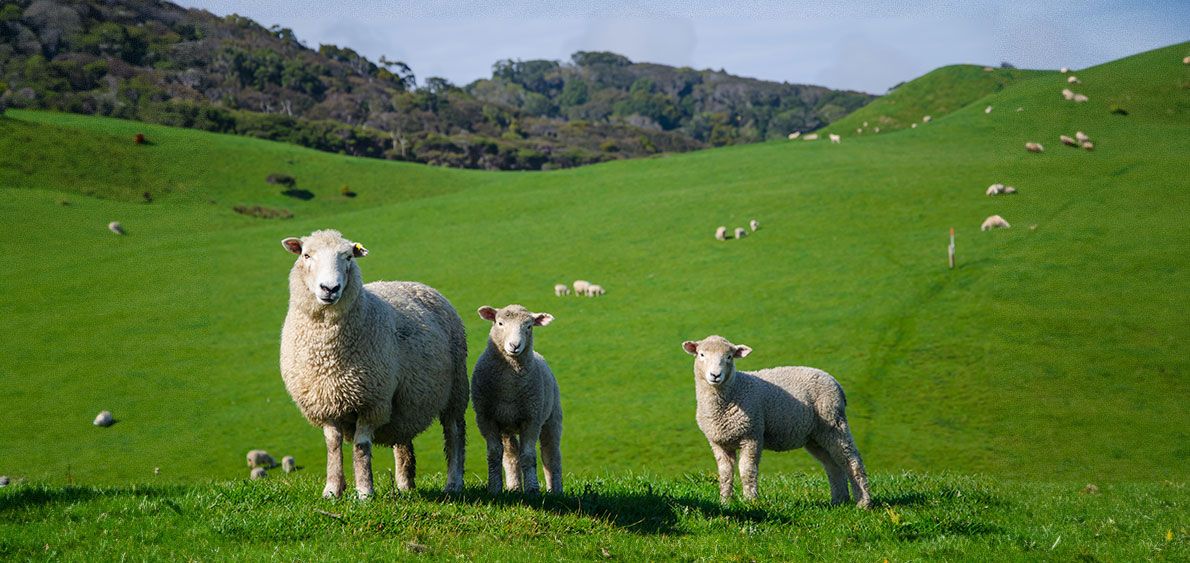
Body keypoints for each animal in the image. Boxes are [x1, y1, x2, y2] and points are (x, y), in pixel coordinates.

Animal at [279, 229, 469, 499]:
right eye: (306, 255)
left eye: (348, 257)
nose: (330, 288)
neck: (327, 354)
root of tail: (416, 284)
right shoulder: (324, 402)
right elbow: (333, 445)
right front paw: (332, 490)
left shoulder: (371, 401)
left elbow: (361, 447)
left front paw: (365, 492)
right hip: (405, 402)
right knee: (403, 440)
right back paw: (404, 484)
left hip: (456, 390)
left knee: (454, 434)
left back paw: (453, 482)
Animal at [472, 305, 563, 494]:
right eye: (500, 323)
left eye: (529, 326)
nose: (515, 345)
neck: (509, 387)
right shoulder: (486, 418)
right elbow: (494, 454)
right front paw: (494, 488)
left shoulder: (532, 418)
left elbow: (528, 455)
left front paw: (532, 490)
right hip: (507, 425)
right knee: (511, 455)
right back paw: (514, 487)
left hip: (552, 418)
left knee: (551, 455)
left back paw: (555, 490)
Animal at [681, 336, 871, 507]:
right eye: (701, 354)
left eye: (729, 357)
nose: (715, 375)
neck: (734, 390)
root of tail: (835, 383)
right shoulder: (718, 442)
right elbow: (725, 474)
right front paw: (725, 503)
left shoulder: (752, 435)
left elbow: (747, 470)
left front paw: (751, 501)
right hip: (816, 436)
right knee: (833, 465)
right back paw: (839, 501)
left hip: (833, 422)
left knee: (851, 460)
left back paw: (863, 502)